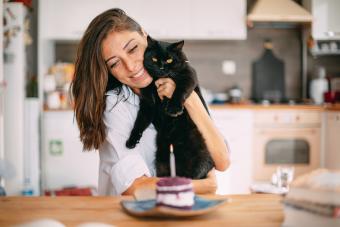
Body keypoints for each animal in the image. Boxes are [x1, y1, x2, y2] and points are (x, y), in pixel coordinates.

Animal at [126, 36, 214, 179]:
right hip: (161, 163)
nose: (161, 67)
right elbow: (139, 122)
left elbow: (179, 91)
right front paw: (131, 140)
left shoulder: (188, 76)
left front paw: (173, 108)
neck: (156, 82)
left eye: (169, 60)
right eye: (154, 59)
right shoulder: (147, 104)